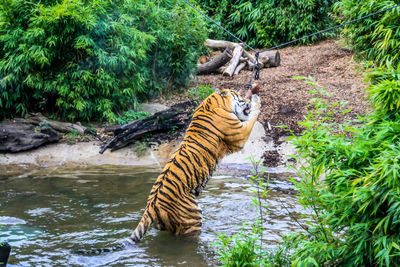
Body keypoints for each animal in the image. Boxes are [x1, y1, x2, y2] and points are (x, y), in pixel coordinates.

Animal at [76, 88, 260, 255]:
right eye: (240, 96)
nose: (248, 98)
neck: (211, 103)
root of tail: (150, 207)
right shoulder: (240, 134)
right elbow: (253, 118)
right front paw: (257, 101)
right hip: (193, 219)